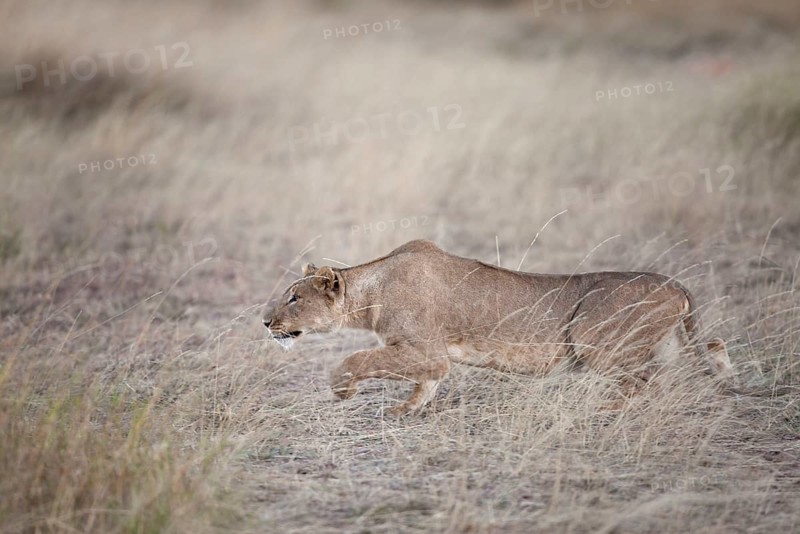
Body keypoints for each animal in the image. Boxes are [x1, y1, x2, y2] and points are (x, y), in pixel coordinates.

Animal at [263, 240, 734, 415]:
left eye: (294, 298)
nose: (265, 322)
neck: (372, 287)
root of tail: (676, 284)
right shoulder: (431, 358)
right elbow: (426, 383)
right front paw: (405, 410)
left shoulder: (425, 349)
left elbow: (358, 358)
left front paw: (343, 389)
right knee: (678, 366)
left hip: (593, 341)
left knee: (644, 379)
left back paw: (608, 409)